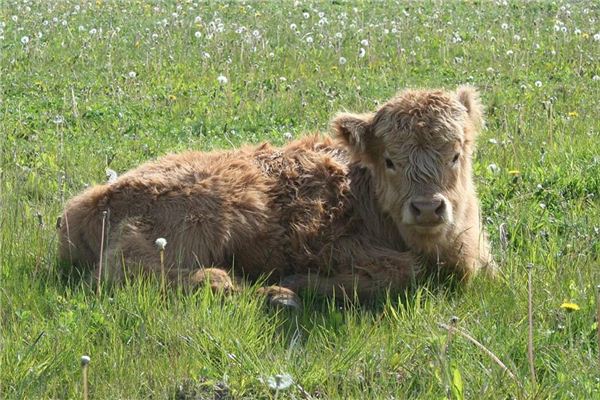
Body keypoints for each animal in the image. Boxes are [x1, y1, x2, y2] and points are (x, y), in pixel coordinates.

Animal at [58, 86, 494, 304]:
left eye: (456, 153)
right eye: (390, 160)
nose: (427, 207)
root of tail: (87, 201)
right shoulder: (336, 246)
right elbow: (404, 271)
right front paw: (297, 282)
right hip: (207, 215)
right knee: (124, 269)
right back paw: (247, 287)